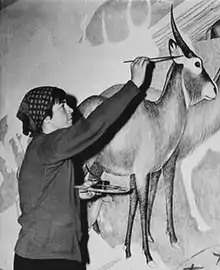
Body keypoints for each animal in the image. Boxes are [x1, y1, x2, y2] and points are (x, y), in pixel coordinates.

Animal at [78, 7, 217, 264]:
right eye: (197, 62)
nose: (214, 90)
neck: (160, 116)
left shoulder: (147, 172)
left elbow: (137, 202)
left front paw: (129, 248)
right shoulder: (146, 172)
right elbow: (145, 204)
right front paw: (150, 253)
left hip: (98, 168)